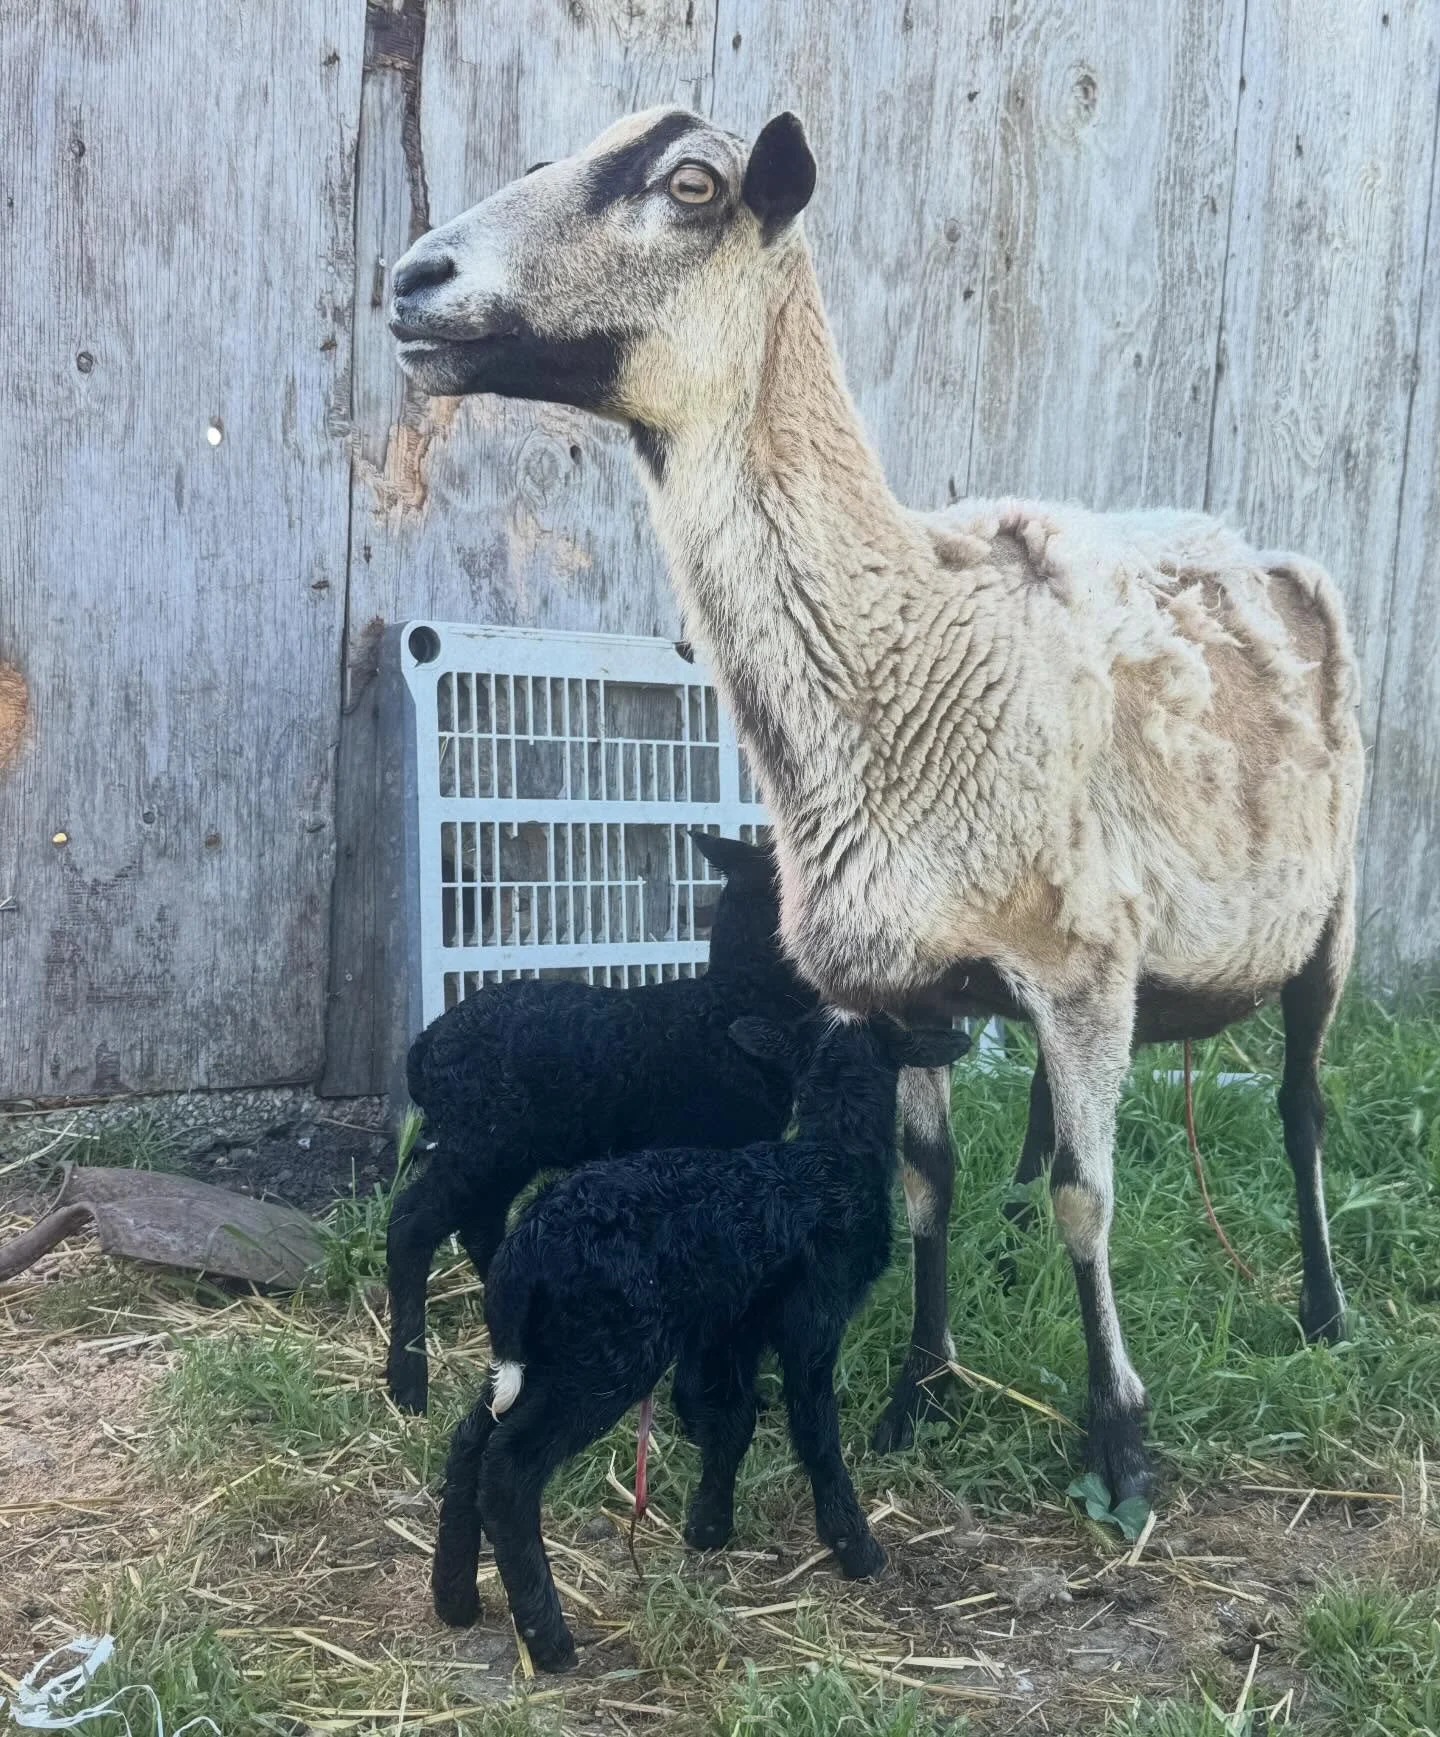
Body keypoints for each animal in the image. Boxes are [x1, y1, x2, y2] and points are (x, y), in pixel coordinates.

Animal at [385, 830, 814, 1414]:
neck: (732, 1001)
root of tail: (426, 1045)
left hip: (506, 1152)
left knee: (481, 1225)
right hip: (478, 1144)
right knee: (410, 1226)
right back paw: (408, 1381)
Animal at [429, 1011, 970, 1672]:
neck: (829, 1159)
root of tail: (526, 1245)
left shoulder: (729, 1330)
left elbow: (731, 1425)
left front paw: (709, 1529)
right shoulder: (813, 1320)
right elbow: (815, 1433)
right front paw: (855, 1546)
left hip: (541, 1351)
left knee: (469, 1443)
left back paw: (455, 1599)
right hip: (606, 1356)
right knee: (508, 1469)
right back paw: (548, 1637)